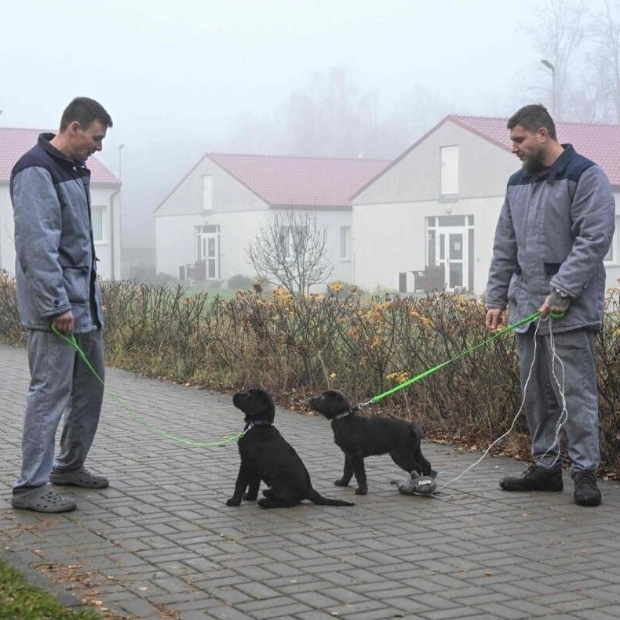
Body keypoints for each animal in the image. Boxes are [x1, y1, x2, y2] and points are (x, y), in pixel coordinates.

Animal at [226, 390, 354, 512]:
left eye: (248, 394)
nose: (235, 394)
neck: (259, 425)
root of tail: (308, 489)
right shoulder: (254, 466)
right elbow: (254, 483)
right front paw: (250, 497)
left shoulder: (246, 462)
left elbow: (240, 483)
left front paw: (234, 501)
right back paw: (268, 493)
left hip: (281, 480)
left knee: (289, 501)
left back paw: (266, 502)